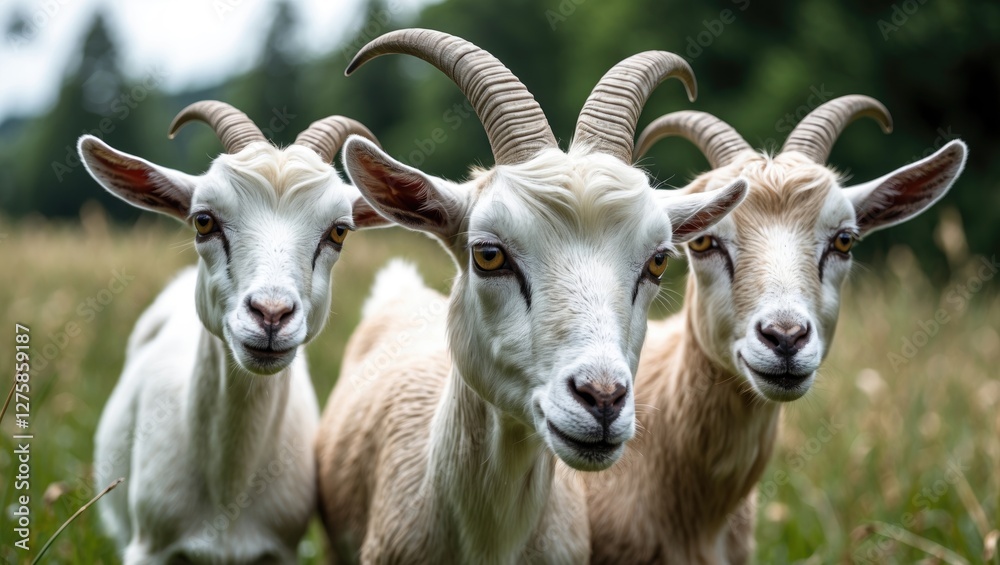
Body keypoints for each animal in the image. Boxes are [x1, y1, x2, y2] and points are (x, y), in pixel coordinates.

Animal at [79, 102, 383, 564]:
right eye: (204, 221)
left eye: (339, 231)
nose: (271, 314)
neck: (229, 491)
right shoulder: (148, 546)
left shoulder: (281, 549)